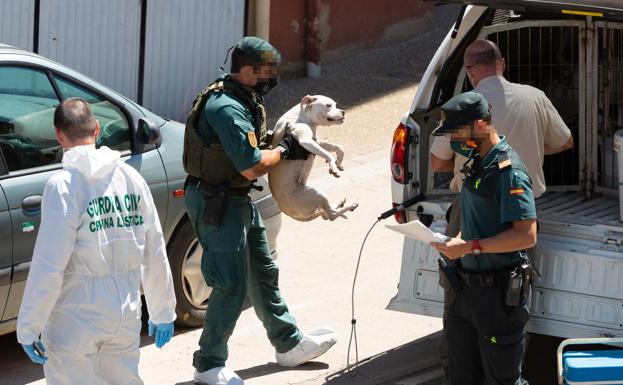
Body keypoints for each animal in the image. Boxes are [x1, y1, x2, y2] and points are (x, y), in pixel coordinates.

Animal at [183, 36, 338, 384]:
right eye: (329, 105)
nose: (344, 112)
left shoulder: (316, 140)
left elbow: (335, 146)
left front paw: (339, 159)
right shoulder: (305, 141)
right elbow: (320, 150)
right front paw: (332, 164)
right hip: (313, 196)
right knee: (328, 211)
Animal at [432, 91, 540, 382]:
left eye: (454, 128)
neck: (489, 154)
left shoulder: (515, 180)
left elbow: (524, 233)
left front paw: (458, 247)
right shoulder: (458, 321)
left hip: (498, 330)